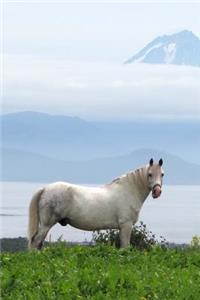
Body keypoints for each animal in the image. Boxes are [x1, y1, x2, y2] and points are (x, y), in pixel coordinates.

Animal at [28, 158, 164, 250]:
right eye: (150, 174)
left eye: (162, 174)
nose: (157, 192)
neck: (129, 190)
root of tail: (45, 189)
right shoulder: (126, 225)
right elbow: (125, 247)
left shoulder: (122, 228)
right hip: (46, 224)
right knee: (36, 242)